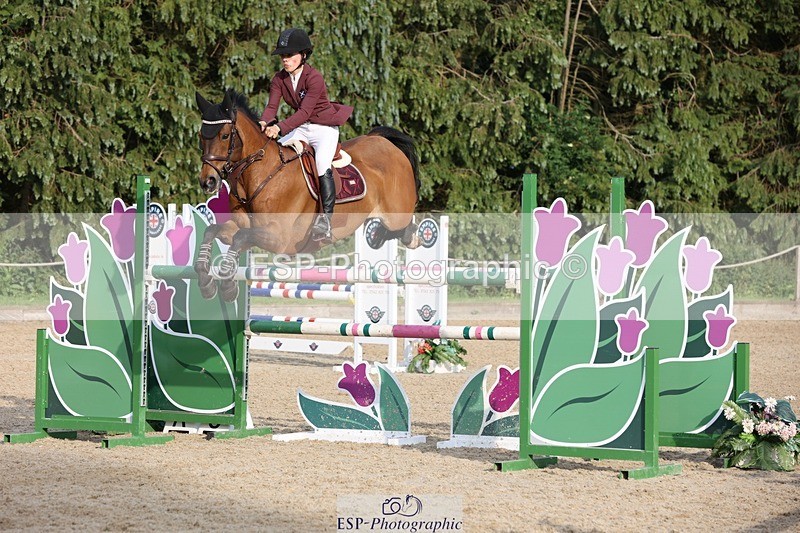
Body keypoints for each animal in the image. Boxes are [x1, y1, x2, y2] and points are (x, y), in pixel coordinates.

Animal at [194, 90, 421, 302]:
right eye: (201, 136)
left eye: (224, 136)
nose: (208, 182)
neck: (258, 174)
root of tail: (384, 142)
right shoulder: (245, 226)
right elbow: (213, 231)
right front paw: (206, 282)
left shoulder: (280, 238)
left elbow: (240, 237)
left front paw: (227, 287)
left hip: (395, 215)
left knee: (405, 229)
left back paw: (397, 236)